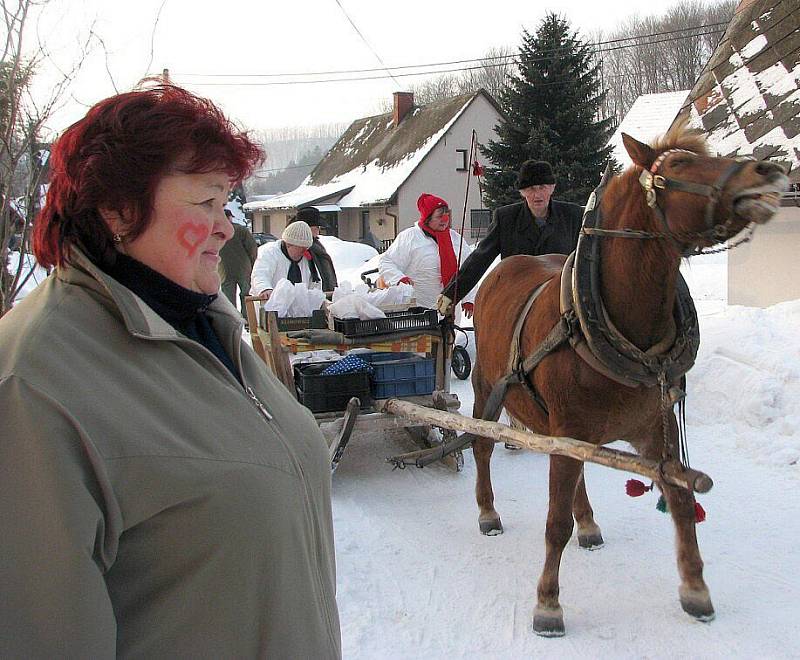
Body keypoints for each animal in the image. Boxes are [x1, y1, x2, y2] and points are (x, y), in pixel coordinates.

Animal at [468, 122, 788, 636]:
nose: (769, 171)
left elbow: (680, 499)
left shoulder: (654, 427)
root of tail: (508, 264)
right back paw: (487, 510)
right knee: (481, 446)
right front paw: (548, 602)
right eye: (678, 165)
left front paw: (695, 589)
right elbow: (553, 523)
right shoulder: (568, 432)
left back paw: (588, 523)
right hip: (488, 389)